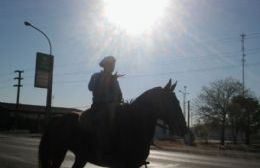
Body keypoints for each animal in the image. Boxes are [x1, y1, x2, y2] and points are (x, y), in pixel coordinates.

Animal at [38, 80, 188, 168]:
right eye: (172, 102)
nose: (183, 128)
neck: (134, 125)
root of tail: (58, 118)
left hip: (80, 157)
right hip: (59, 153)